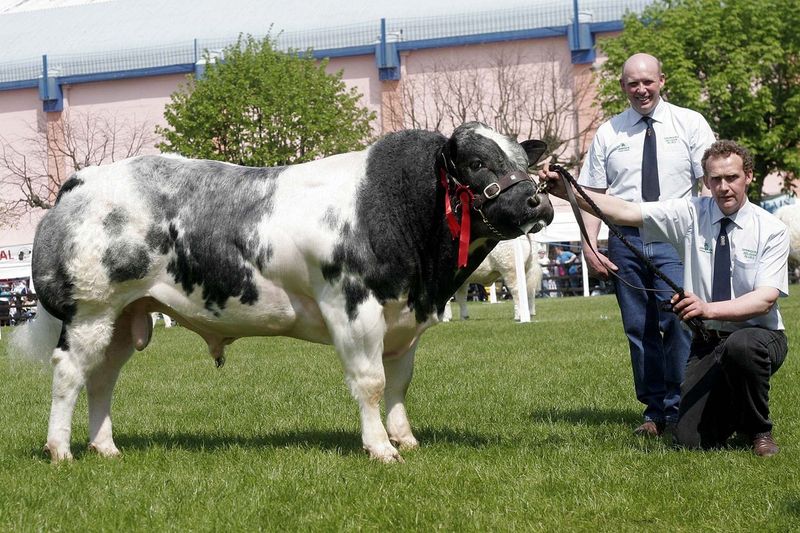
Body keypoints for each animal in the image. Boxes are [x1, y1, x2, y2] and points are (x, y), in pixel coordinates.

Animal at [12, 120, 552, 462]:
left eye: (524, 160)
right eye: (478, 162)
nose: (537, 201)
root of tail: (84, 179)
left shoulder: (404, 320)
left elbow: (398, 385)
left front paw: (405, 440)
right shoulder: (354, 309)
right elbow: (371, 382)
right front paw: (380, 449)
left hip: (125, 316)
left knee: (101, 378)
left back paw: (105, 448)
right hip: (91, 310)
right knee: (69, 373)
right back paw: (60, 450)